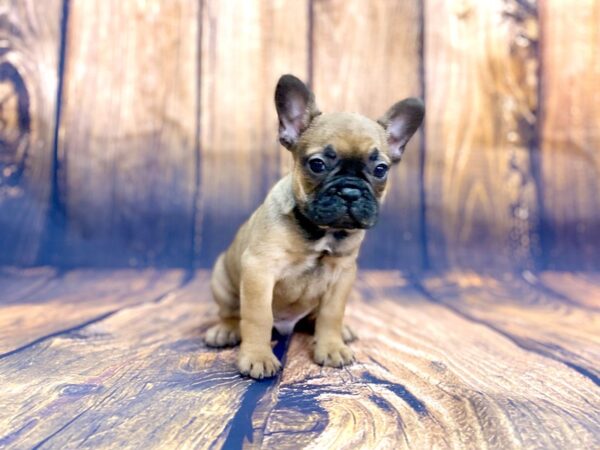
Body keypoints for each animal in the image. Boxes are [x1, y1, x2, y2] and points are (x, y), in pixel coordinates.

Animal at [206, 74, 426, 380]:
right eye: (317, 164)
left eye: (380, 169)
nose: (350, 191)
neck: (322, 232)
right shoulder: (259, 271)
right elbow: (258, 317)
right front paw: (258, 356)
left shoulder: (343, 275)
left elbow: (331, 314)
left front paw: (331, 347)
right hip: (221, 278)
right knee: (230, 312)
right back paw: (225, 330)